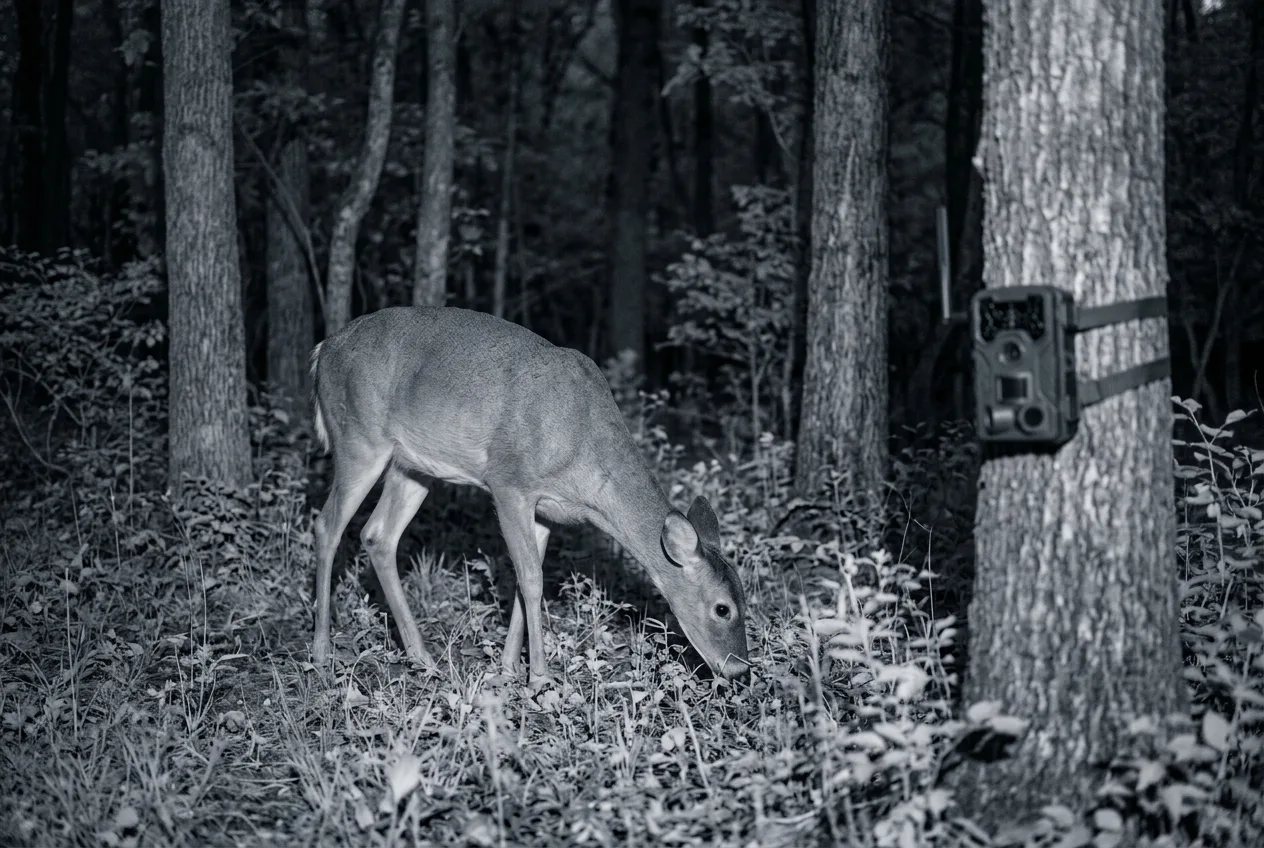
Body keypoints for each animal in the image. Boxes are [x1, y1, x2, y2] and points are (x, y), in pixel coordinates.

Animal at [308, 306, 750, 688]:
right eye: (723, 608)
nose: (740, 670)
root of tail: (323, 349)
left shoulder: (547, 510)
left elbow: (528, 580)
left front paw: (506, 670)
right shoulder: (509, 482)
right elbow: (532, 580)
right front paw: (539, 678)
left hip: (411, 466)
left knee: (378, 535)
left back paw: (422, 657)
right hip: (359, 437)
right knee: (327, 526)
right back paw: (321, 652)